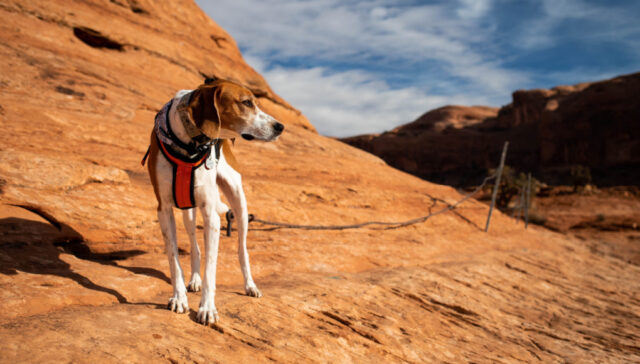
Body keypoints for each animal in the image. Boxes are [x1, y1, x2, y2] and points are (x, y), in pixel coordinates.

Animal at [146, 79, 286, 324]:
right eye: (246, 103)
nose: (280, 126)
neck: (189, 143)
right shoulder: (164, 209)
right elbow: (174, 258)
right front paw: (179, 297)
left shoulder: (211, 214)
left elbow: (211, 267)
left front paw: (207, 308)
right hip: (187, 209)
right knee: (195, 247)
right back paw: (194, 279)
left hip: (239, 202)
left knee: (242, 249)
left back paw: (250, 285)